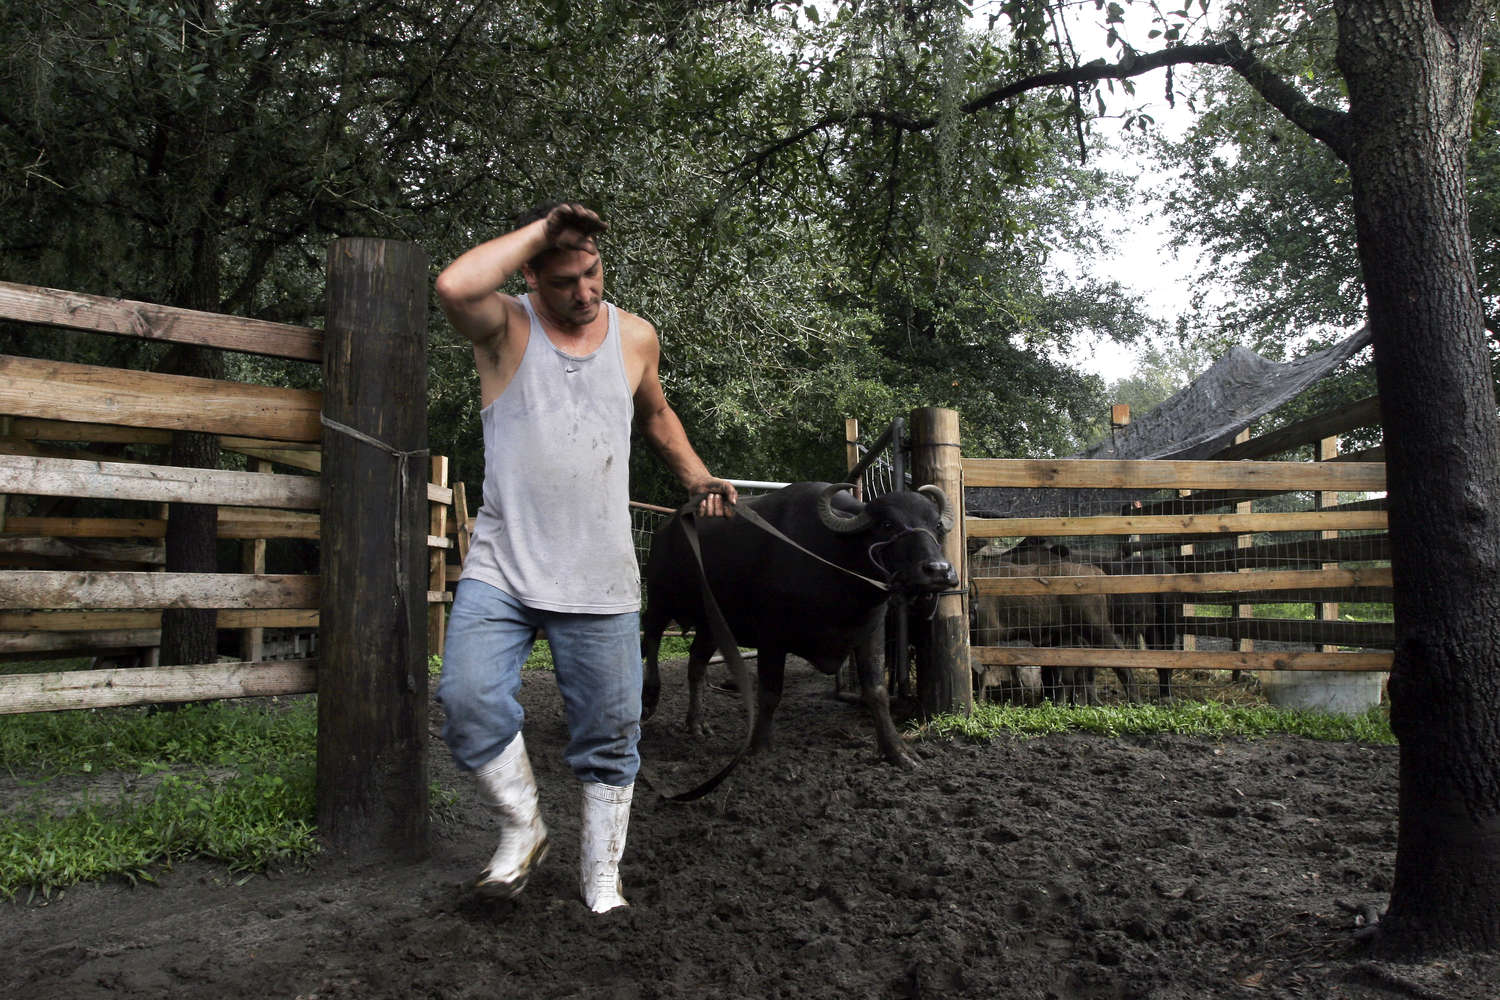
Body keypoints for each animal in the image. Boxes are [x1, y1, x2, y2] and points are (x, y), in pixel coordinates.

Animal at [639, 479, 954, 773]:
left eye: (936, 525)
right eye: (887, 525)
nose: (938, 570)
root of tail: (666, 528)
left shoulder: (870, 634)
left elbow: (876, 693)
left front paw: (897, 752)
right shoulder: (771, 637)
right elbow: (769, 693)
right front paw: (759, 747)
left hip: (710, 624)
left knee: (696, 665)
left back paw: (696, 724)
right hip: (659, 598)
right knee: (650, 639)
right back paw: (649, 697)